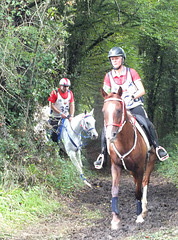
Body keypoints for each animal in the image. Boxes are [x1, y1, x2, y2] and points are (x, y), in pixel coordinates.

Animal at [102, 87, 156, 230]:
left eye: (119, 110)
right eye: (104, 111)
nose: (110, 135)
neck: (124, 142)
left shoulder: (140, 167)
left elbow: (138, 191)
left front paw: (139, 217)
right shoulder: (115, 166)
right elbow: (114, 190)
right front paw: (115, 220)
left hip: (150, 161)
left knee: (144, 182)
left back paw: (143, 210)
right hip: (131, 170)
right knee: (137, 181)